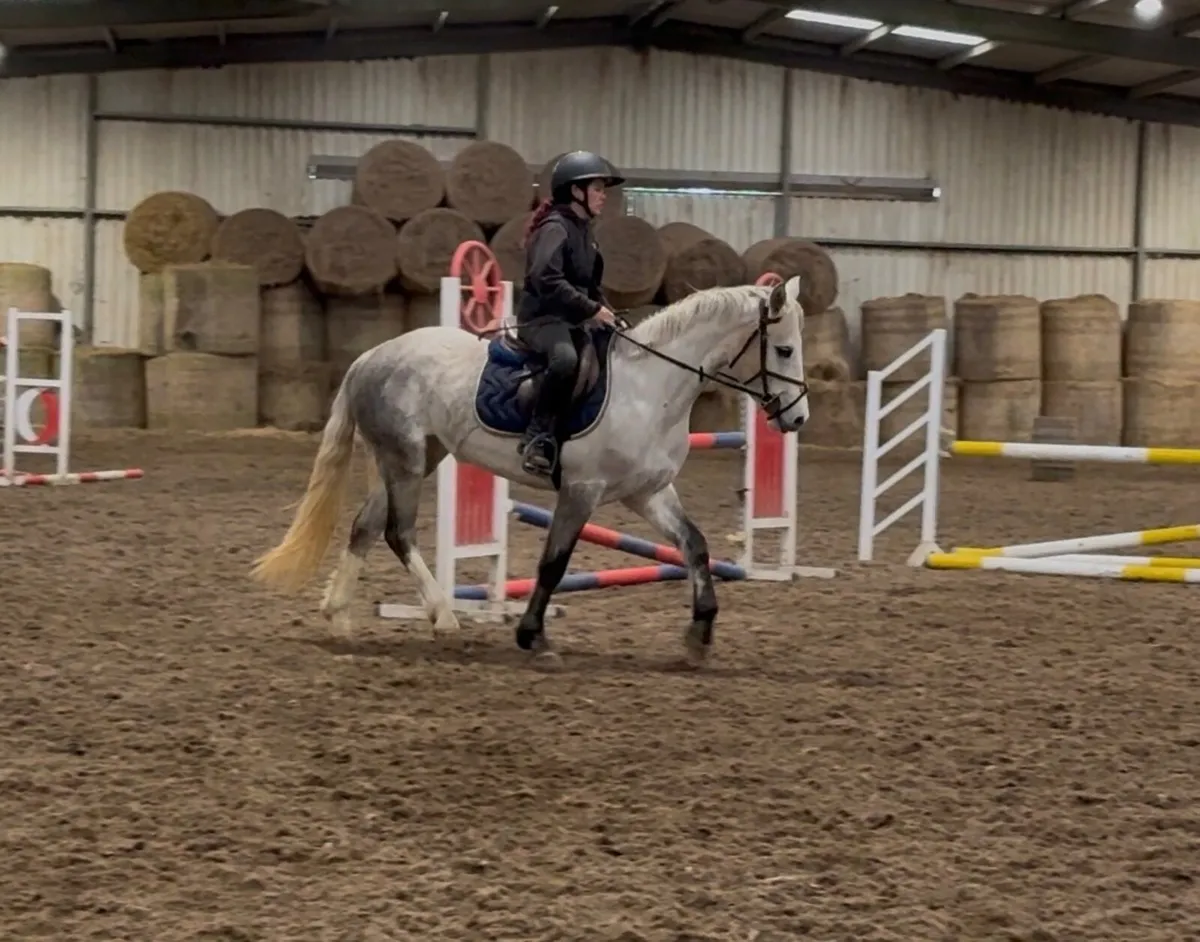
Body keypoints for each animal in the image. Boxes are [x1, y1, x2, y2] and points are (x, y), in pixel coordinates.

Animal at [250, 277, 810, 666]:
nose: (798, 418)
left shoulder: (648, 493)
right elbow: (553, 564)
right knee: (397, 532)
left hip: (414, 458)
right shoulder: (582, 490)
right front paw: (532, 636)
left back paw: (339, 617)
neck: (652, 388)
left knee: (365, 527)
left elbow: (694, 545)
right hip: (403, 461)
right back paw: (444, 616)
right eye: (784, 349)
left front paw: (699, 634)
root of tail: (370, 356)